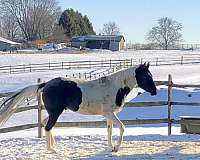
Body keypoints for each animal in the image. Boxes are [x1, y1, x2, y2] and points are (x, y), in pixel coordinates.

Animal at [0, 62, 156, 152]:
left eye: (150, 75)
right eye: (146, 76)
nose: (154, 91)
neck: (115, 87)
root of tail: (46, 84)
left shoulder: (108, 114)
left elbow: (109, 131)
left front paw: (111, 147)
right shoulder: (109, 114)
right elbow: (122, 127)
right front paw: (116, 147)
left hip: (54, 112)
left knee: (45, 124)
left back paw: (54, 146)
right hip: (55, 113)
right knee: (48, 127)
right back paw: (51, 150)